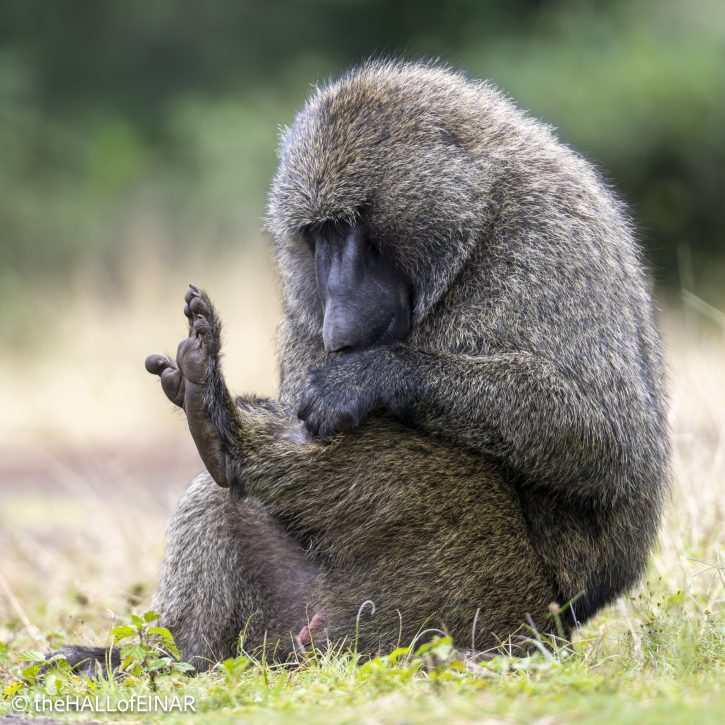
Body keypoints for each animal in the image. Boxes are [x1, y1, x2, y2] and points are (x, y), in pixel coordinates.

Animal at [54, 60, 669, 675]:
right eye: (317, 233)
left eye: (351, 224)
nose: (338, 322)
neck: (476, 222)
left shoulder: (552, 239)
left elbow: (608, 440)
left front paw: (368, 378)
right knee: (227, 498)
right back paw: (168, 653)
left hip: (480, 591)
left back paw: (222, 430)